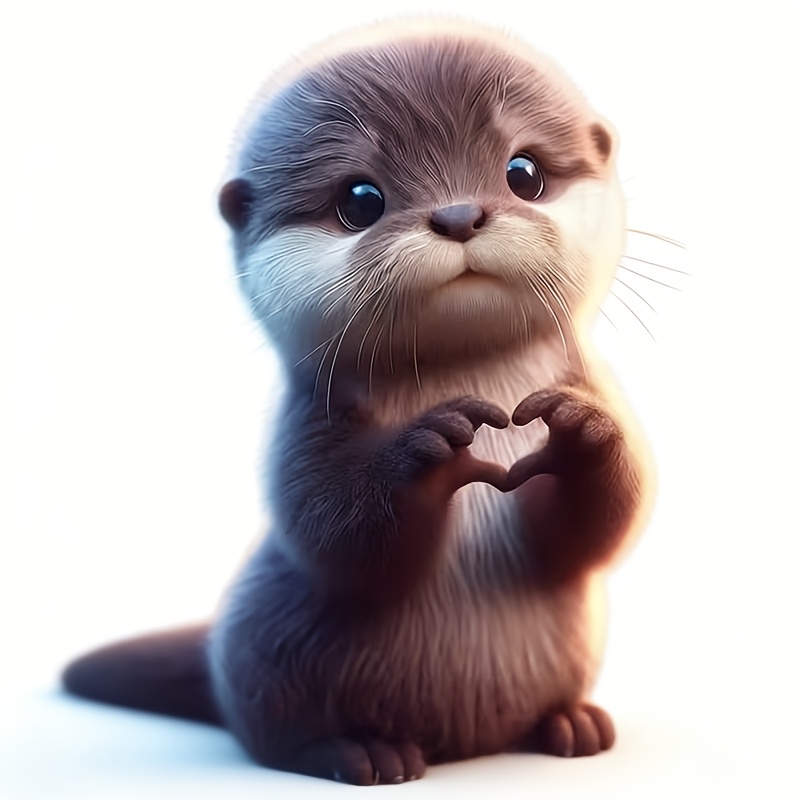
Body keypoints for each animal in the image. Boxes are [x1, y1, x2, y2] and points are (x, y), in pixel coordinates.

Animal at [62, 17, 654, 785]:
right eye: (359, 200)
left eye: (524, 173)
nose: (458, 214)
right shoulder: (305, 426)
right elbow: (334, 535)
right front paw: (430, 448)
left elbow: (596, 531)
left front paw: (580, 434)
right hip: (270, 650)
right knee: (277, 736)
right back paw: (363, 750)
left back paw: (570, 722)